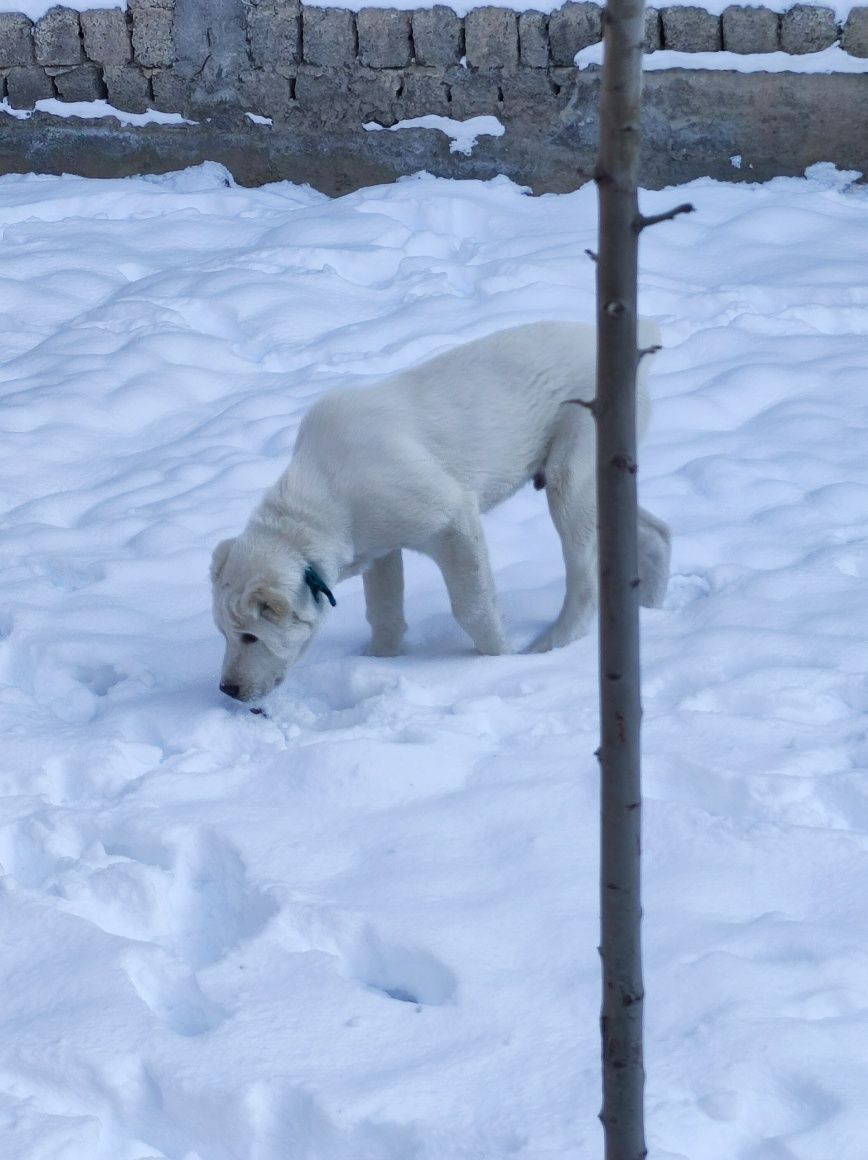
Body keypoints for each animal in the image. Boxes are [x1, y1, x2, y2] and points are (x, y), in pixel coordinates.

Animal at [210, 317, 673, 700]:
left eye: (251, 636)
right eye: (224, 635)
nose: (228, 690)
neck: (327, 494)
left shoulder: (453, 520)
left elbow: (473, 608)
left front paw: (496, 660)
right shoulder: (381, 548)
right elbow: (384, 615)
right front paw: (378, 661)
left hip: (571, 479)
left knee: (586, 583)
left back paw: (547, 649)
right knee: (658, 533)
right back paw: (652, 608)